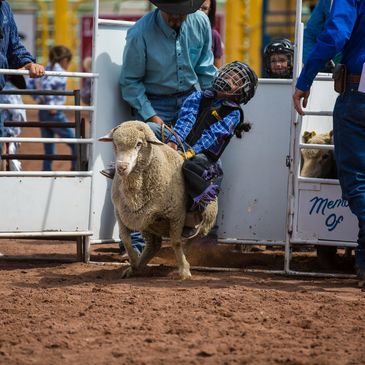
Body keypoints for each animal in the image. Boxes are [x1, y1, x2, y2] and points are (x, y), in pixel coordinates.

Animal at [99, 121, 216, 278]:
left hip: (207, 218)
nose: (121, 167)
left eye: (139, 144)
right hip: (148, 224)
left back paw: (184, 255)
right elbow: (126, 240)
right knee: (153, 245)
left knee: (194, 238)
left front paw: (184, 270)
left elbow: (176, 243)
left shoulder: (176, 215)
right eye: (115, 144)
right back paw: (137, 267)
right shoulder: (121, 214)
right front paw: (133, 262)